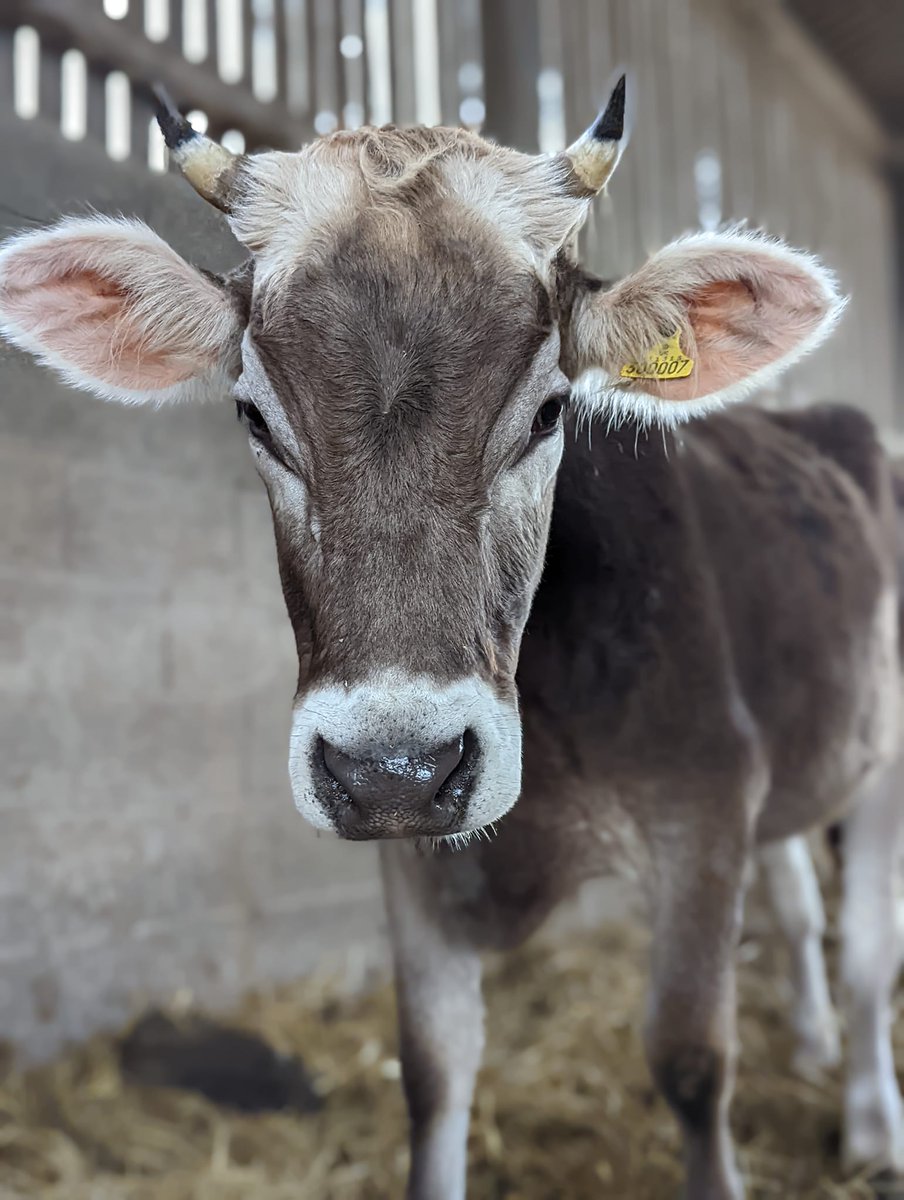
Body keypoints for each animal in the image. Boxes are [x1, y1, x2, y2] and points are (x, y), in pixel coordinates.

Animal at [0, 76, 900, 1199]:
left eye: (552, 410)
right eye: (253, 416)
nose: (396, 768)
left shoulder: (703, 809)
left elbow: (692, 1062)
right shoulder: (413, 866)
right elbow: (432, 1072)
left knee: (867, 946)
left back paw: (868, 1121)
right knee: (798, 899)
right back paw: (816, 1044)